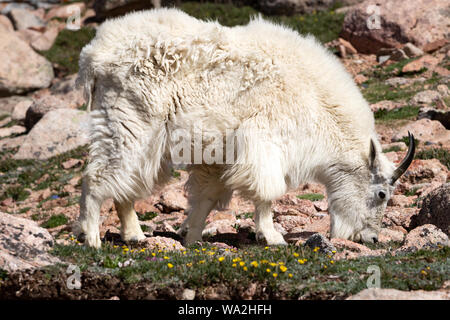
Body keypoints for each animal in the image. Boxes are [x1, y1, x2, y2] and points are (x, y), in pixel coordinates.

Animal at [74, 6, 414, 248]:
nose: (371, 239)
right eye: (381, 194)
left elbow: (206, 197)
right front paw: (272, 237)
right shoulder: (265, 140)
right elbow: (266, 191)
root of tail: (94, 55)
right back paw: (91, 238)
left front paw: (191, 237)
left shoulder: (218, 155)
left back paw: (134, 235)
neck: (316, 99)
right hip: (129, 120)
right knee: (99, 176)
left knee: (126, 181)